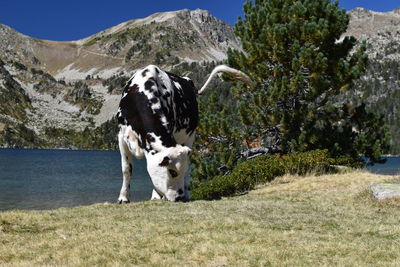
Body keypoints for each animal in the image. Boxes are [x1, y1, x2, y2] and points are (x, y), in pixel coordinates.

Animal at [117, 65, 252, 203]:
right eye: (172, 172)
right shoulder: (121, 136)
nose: (179, 197)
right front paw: (123, 198)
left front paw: (156, 196)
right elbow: (126, 169)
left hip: (190, 136)